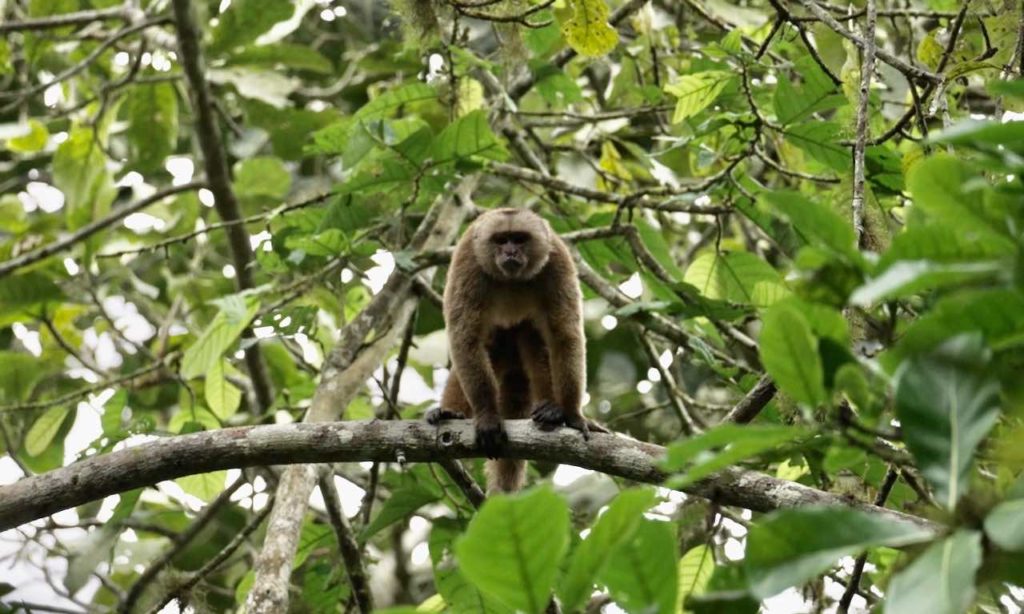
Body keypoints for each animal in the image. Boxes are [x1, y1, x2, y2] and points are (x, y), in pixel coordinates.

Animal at [423, 208, 598, 491]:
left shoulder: (557, 260)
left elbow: (564, 336)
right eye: (501, 240)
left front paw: (572, 414)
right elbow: (465, 338)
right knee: (485, 345)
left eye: (519, 239)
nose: (510, 252)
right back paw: (450, 412)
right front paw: (487, 416)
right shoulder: (467, 260)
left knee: (533, 337)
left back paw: (551, 409)